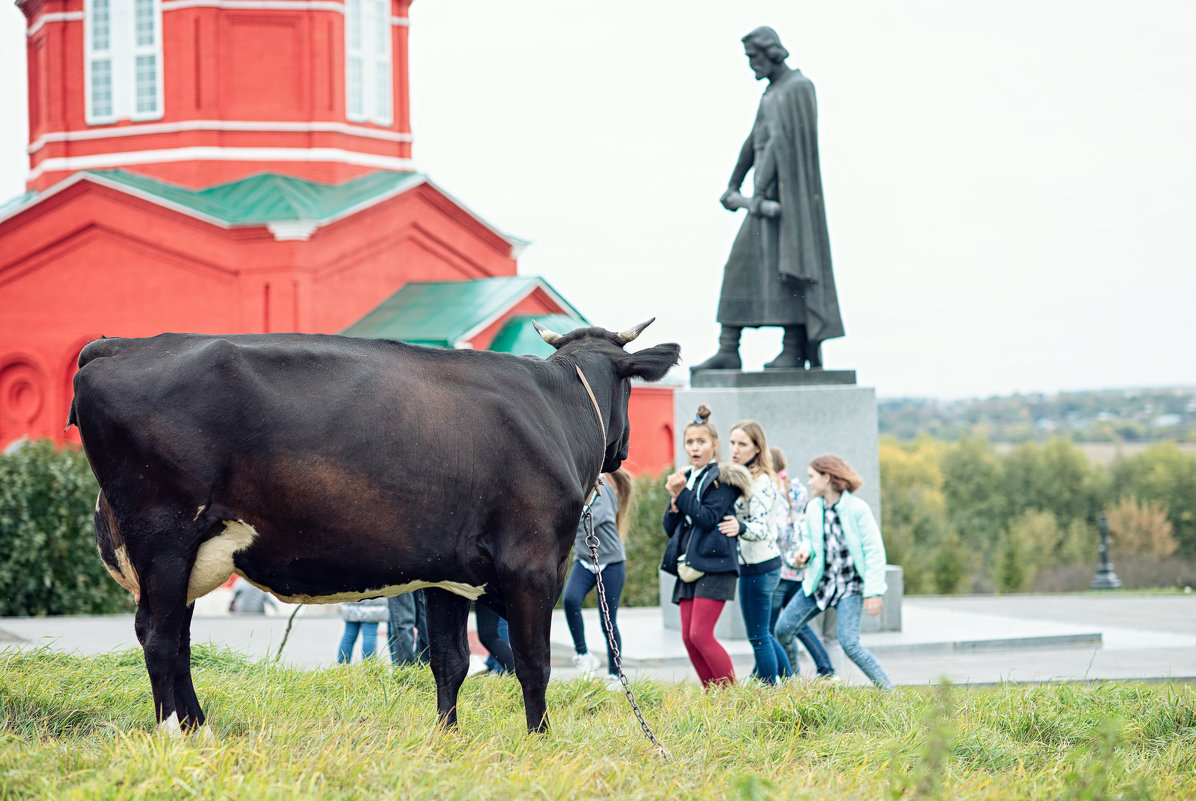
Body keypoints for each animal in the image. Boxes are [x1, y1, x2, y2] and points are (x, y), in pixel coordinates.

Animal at [69, 320, 679, 736]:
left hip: (192, 554)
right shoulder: (533, 565)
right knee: (159, 635)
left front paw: (446, 738)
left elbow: (451, 661)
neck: (554, 409)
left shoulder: (449, 574)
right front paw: (540, 740)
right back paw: (177, 733)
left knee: (178, 637)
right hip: (164, 537)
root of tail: (118, 344)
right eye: (630, 388)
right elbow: (534, 663)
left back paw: (201, 728)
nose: (621, 450)